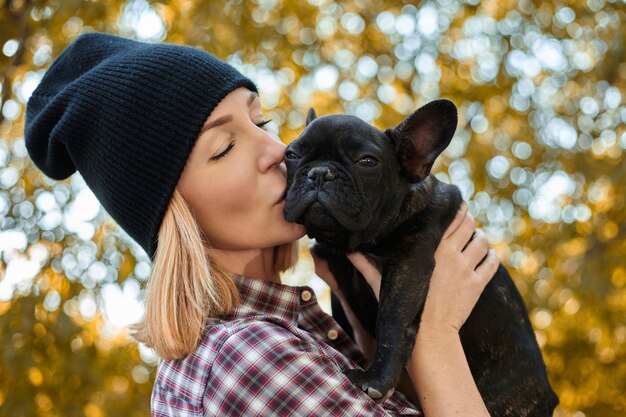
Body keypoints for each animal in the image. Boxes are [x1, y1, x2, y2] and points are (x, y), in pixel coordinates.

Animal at [282, 99, 556, 414]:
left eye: (367, 162)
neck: (355, 241)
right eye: (291, 154)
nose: (319, 172)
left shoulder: (409, 262)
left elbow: (390, 320)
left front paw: (376, 379)